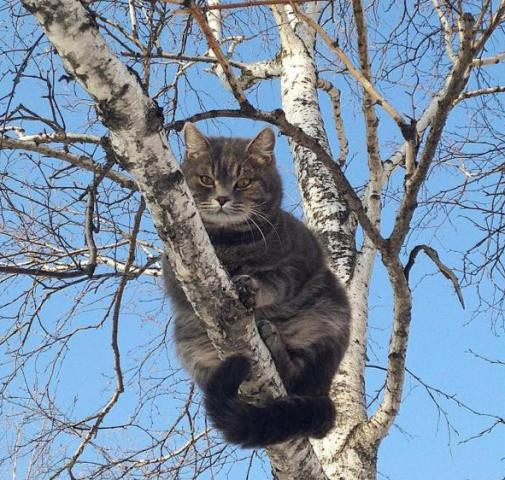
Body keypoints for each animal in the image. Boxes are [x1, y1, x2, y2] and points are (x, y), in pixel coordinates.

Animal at [162, 122, 350, 448]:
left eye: (244, 181)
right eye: (206, 179)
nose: (222, 197)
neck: (228, 244)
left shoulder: (299, 260)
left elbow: (274, 281)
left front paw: (249, 287)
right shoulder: (177, 275)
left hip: (333, 317)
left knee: (296, 380)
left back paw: (273, 341)